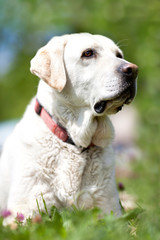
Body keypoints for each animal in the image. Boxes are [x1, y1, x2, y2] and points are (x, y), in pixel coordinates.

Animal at [0, 32, 138, 224]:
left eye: (119, 55)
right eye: (88, 53)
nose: (133, 70)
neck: (74, 143)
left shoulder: (108, 208)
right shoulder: (25, 212)